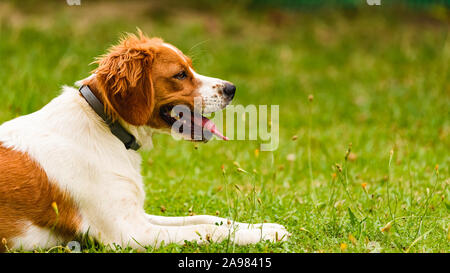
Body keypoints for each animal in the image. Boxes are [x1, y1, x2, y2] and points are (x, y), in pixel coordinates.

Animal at [0, 30, 288, 251]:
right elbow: (207, 229)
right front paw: (261, 234)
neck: (105, 126)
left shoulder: (136, 215)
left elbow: (208, 219)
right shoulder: (127, 233)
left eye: (190, 66)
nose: (231, 88)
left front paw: (266, 228)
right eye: (180, 74)